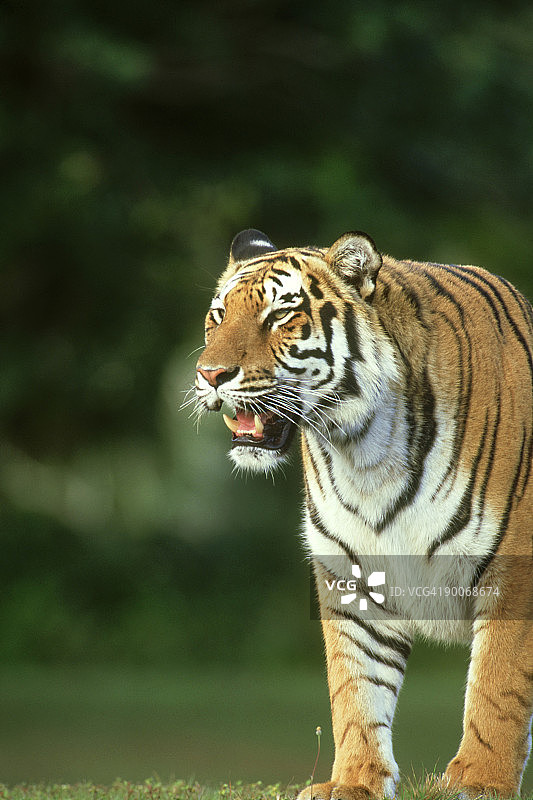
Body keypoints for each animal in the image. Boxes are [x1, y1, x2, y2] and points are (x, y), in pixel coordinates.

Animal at [194, 228, 533, 799]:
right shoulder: (351, 574)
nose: (209, 374)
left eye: (280, 315)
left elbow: (498, 687)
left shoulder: (515, 571)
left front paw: (478, 782)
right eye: (218, 316)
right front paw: (354, 781)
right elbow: (356, 686)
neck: (364, 452)